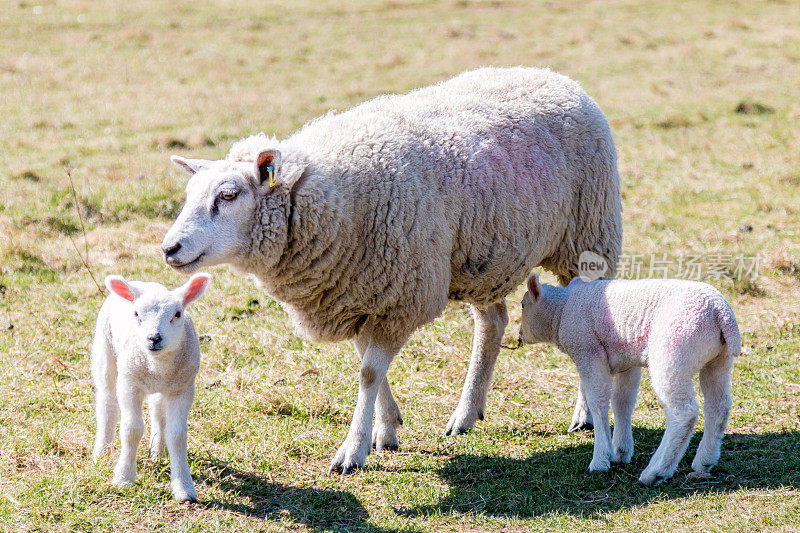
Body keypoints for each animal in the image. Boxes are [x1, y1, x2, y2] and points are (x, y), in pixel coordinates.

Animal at [91, 272, 211, 500]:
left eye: (177, 314)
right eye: (136, 314)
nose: (154, 338)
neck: (157, 364)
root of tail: (139, 282)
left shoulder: (183, 388)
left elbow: (177, 434)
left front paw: (184, 488)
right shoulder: (129, 383)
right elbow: (132, 429)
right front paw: (124, 478)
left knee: (157, 410)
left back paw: (158, 452)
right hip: (106, 350)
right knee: (107, 403)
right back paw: (102, 452)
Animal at [161, 67, 624, 474]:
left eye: (228, 195)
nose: (169, 249)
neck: (336, 201)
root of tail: (553, 76)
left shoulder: (400, 294)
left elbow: (368, 372)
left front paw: (352, 450)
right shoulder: (351, 295)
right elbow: (368, 364)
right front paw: (385, 429)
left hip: (589, 236)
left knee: (584, 311)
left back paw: (584, 412)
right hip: (485, 258)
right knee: (492, 323)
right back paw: (466, 413)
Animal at [520, 272, 744, 484]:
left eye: (522, 305)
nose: (519, 335)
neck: (562, 310)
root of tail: (721, 312)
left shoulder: (588, 353)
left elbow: (597, 402)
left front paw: (600, 460)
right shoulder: (627, 361)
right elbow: (622, 402)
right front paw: (621, 452)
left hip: (673, 352)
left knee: (683, 414)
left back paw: (656, 472)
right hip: (718, 360)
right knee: (718, 405)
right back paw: (704, 460)